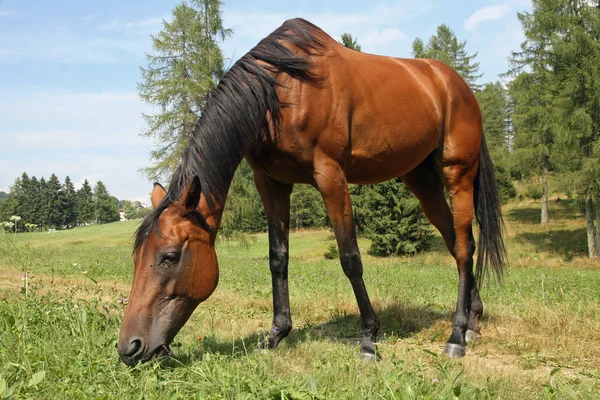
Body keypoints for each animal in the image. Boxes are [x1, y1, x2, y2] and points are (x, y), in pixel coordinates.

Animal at [116, 18, 502, 366]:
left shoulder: (330, 176)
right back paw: (472, 322)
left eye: (169, 257)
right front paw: (276, 335)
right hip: (421, 180)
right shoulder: (270, 182)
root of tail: (455, 84)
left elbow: (350, 258)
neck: (281, 93)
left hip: (458, 174)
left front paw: (369, 339)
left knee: (465, 247)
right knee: (456, 242)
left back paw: (456, 336)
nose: (129, 348)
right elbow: (278, 258)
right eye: (135, 257)